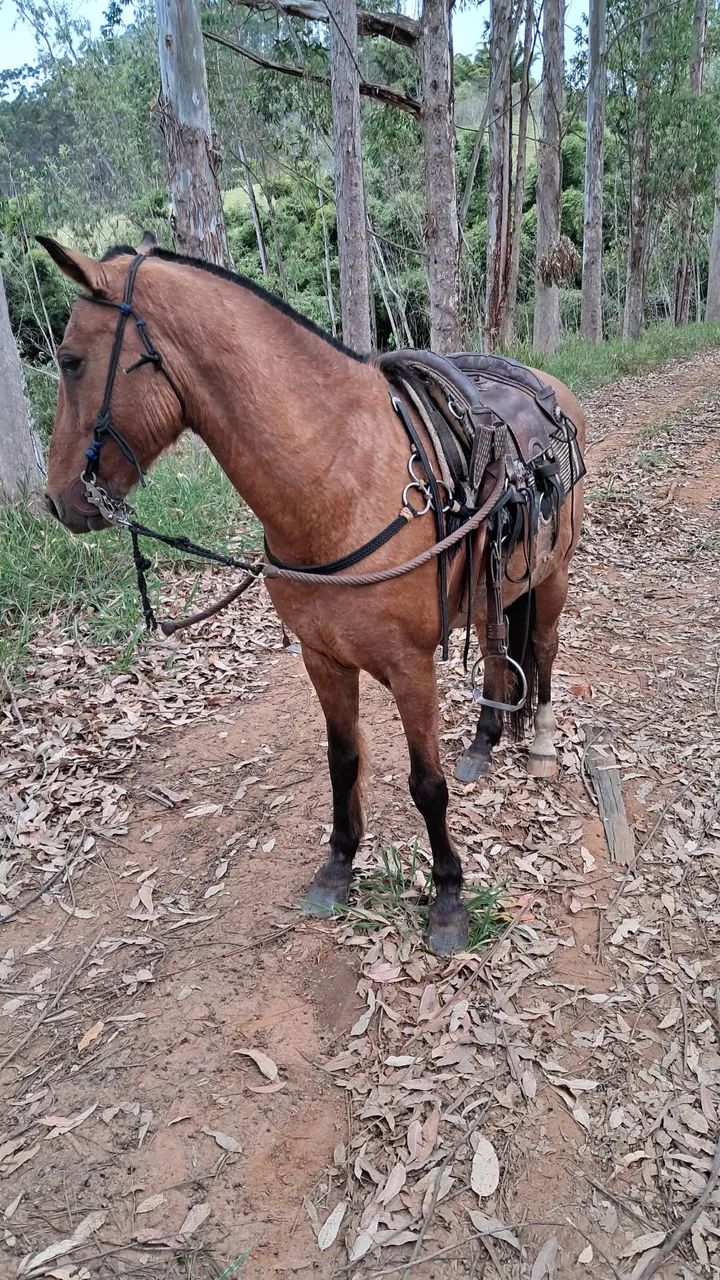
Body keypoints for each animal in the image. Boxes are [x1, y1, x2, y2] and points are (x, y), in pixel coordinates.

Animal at [38, 235, 586, 954]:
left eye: (71, 360)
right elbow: (343, 761)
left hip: (553, 575)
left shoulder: (410, 668)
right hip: (500, 583)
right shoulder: (321, 659)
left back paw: (540, 744)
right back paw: (485, 741)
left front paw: (447, 898)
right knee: (500, 650)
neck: (340, 479)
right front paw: (338, 865)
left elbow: (426, 785)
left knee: (542, 651)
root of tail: (550, 388)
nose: (56, 502)